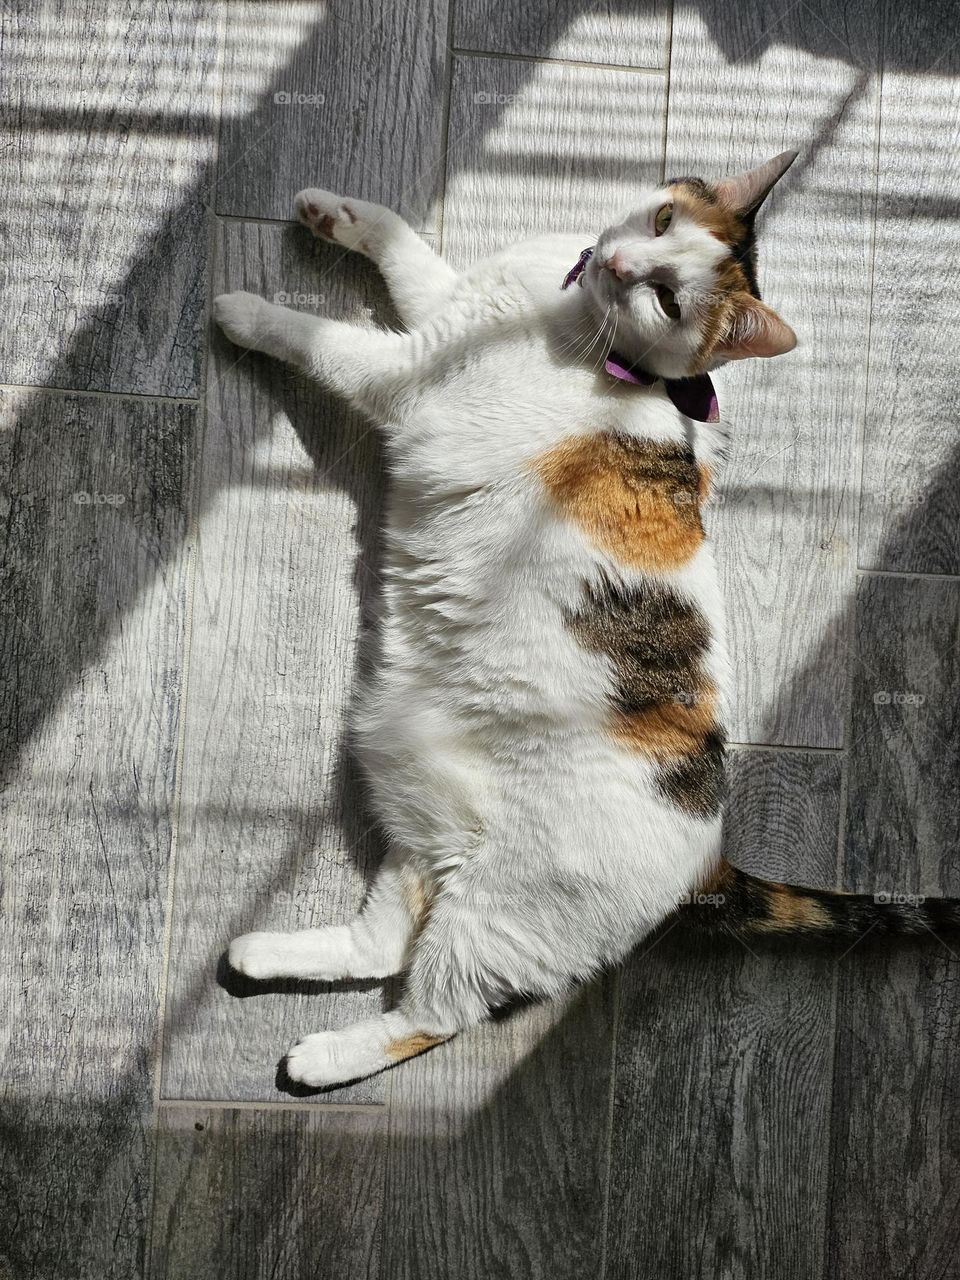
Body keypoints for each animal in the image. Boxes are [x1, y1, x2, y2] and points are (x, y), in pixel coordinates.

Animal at [213, 152, 957, 1090]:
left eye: (668, 300)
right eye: (664, 222)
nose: (622, 265)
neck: (573, 321)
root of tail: (709, 857)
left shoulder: (407, 373)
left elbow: (323, 338)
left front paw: (244, 312)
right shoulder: (454, 303)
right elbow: (402, 242)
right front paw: (331, 213)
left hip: (498, 913)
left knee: (432, 1014)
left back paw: (320, 1059)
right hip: (412, 787)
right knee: (383, 943)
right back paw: (261, 954)